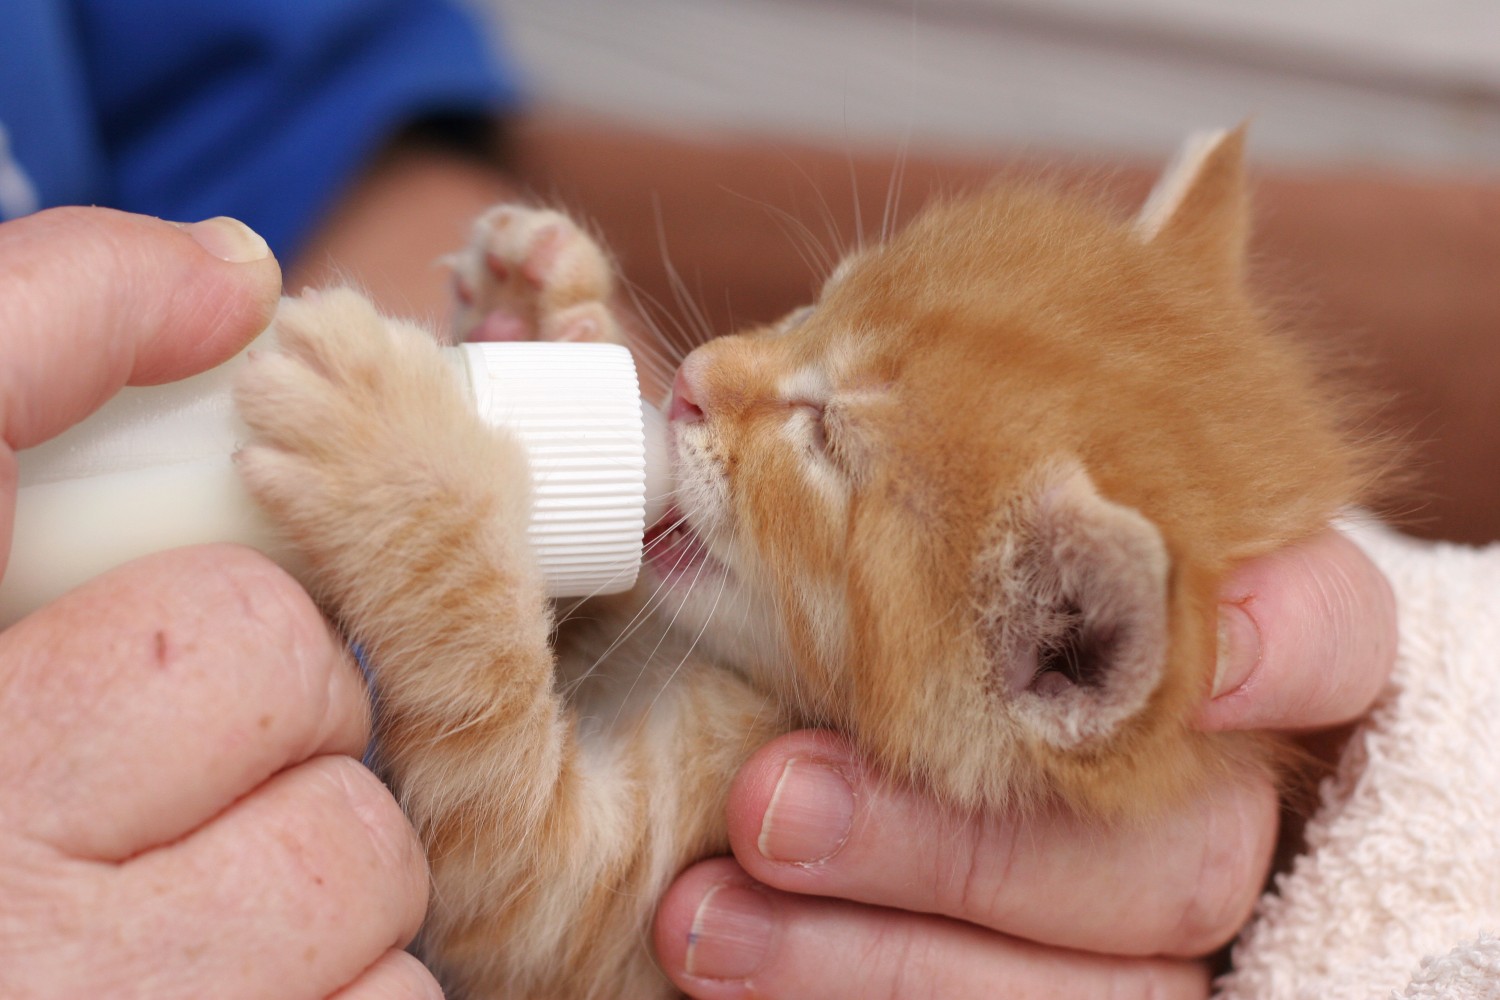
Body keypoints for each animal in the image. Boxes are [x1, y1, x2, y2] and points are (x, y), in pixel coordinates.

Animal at [237, 128, 1380, 995]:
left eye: (826, 440)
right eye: (810, 305)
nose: (691, 381)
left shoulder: (572, 915)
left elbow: (497, 787)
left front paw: (399, 457)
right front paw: (542, 315)